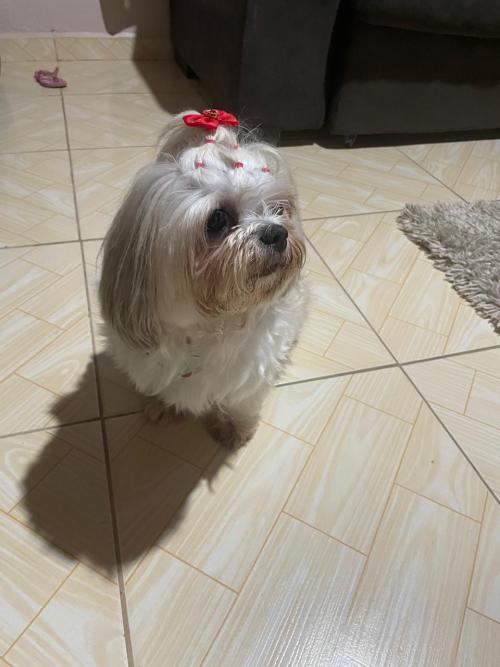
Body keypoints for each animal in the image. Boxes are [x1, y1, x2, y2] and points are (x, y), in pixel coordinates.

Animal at [99, 109, 307, 448]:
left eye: (279, 209)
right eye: (218, 219)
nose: (276, 232)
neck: (209, 325)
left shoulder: (250, 374)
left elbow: (240, 401)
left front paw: (234, 426)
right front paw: (163, 406)